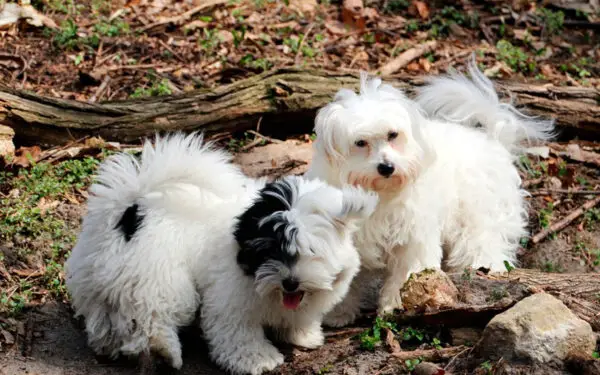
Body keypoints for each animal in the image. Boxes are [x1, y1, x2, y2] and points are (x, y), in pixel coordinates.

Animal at [64, 132, 376, 374]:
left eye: (311, 252)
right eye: (269, 250)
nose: (290, 282)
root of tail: (131, 211)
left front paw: (302, 335)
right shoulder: (231, 298)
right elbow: (238, 332)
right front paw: (257, 360)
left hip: (100, 277)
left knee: (104, 313)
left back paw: (108, 344)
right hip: (160, 277)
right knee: (153, 317)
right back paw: (166, 351)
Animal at [308, 60, 556, 324]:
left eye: (393, 134)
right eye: (360, 143)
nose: (386, 167)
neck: (380, 194)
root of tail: (493, 140)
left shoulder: (413, 236)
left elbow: (407, 271)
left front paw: (396, 304)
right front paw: (337, 312)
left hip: (480, 218)